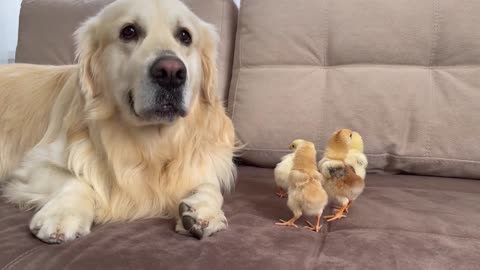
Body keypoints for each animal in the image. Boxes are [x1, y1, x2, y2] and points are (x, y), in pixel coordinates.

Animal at [0, 0, 236, 243]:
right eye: (128, 31)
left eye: (184, 36)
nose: (171, 72)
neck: (153, 143)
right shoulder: (33, 165)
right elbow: (76, 179)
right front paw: (63, 213)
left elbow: (210, 185)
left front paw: (203, 209)